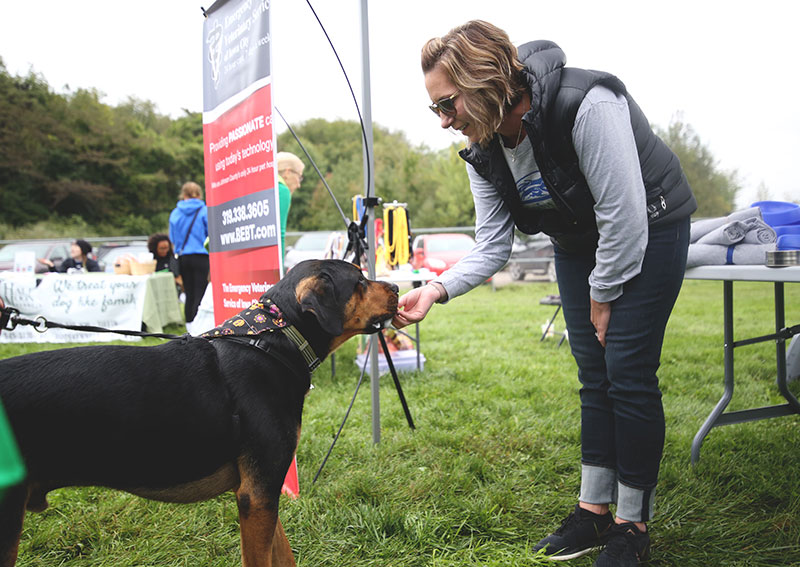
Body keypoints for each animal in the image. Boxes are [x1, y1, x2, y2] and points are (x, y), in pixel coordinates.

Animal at [0, 260, 400, 564]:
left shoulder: (260, 490)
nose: (397, 286)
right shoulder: (257, 494)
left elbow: (282, 553)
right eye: (359, 281)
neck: (272, 341)